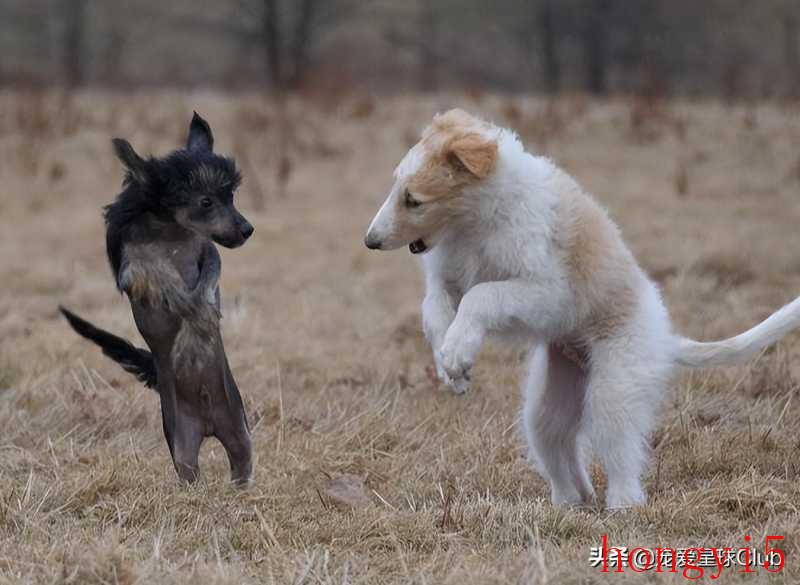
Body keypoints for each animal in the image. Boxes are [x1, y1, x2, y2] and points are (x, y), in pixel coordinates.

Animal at [61, 113, 255, 484]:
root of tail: (209, 426)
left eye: (232, 196)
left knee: (241, 464)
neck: (170, 230)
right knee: (188, 472)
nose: (247, 230)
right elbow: (163, 277)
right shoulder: (133, 270)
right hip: (181, 443)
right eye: (206, 201)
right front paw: (188, 305)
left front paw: (204, 313)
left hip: (238, 431)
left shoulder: (207, 252)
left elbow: (208, 277)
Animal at [366, 108, 800, 506]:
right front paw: (451, 365)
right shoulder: (446, 277)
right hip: (551, 400)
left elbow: (482, 295)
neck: (476, 221)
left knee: (620, 451)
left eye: (413, 200)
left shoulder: (547, 292)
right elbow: (434, 309)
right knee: (560, 450)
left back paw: (622, 506)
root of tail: (665, 338)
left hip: (614, 385)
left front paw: (457, 353)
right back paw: (569, 503)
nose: (370, 242)